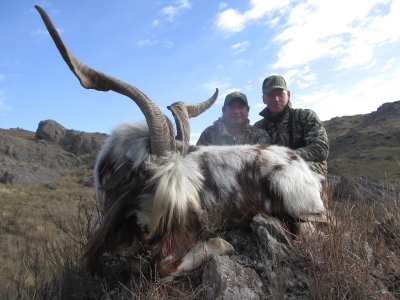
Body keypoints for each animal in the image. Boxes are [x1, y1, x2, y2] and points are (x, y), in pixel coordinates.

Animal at [36, 6, 326, 282]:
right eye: (144, 173)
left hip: (298, 202)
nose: (148, 232)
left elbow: (159, 267)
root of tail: (299, 162)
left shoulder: (185, 226)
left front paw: (220, 244)